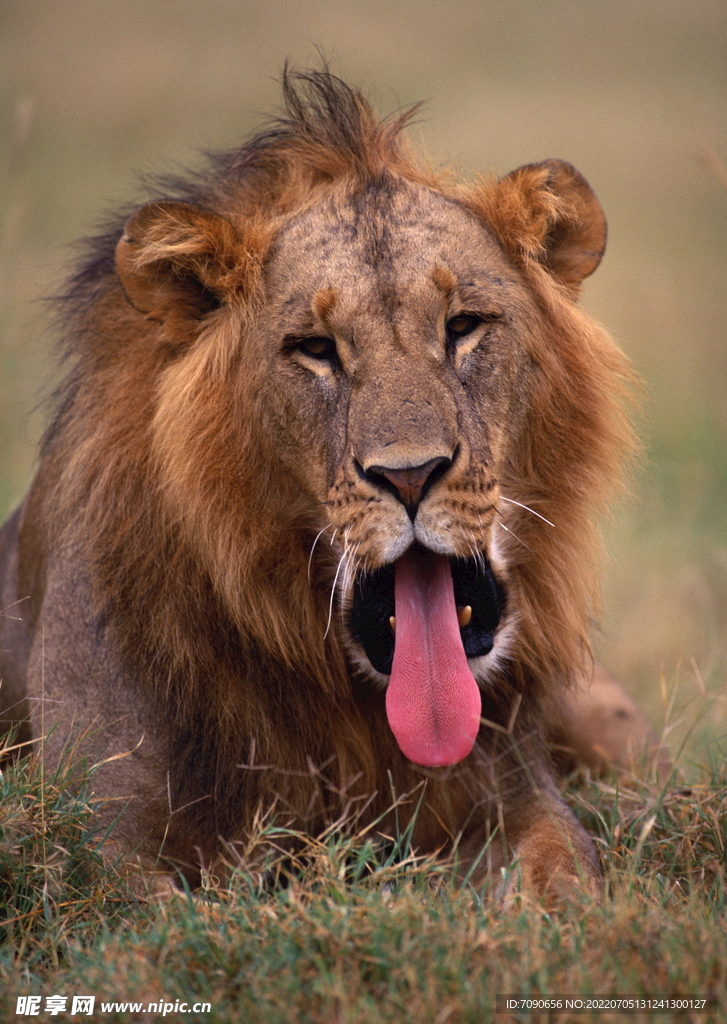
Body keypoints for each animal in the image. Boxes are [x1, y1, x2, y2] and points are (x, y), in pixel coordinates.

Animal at [0, 68, 659, 901]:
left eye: (463, 325)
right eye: (315, 348)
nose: (408, 475)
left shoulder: (513, 792)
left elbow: (566, 868)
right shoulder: (93, 838)